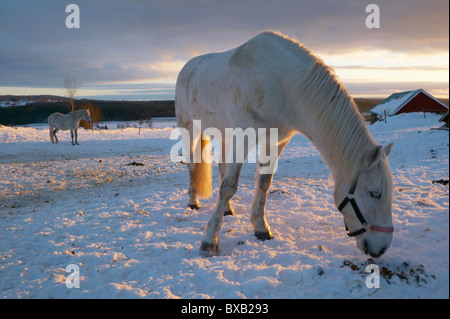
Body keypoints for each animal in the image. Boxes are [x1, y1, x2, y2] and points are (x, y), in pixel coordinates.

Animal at [176, 31, 394, 258]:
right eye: (375, 193)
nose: (382, 248)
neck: (282, 85)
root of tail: (188, 66)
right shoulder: (243, 138)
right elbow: (228, 186)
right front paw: (210, 240)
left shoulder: (276, 141)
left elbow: (264, 183)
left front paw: (261, 227)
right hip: (189, 128)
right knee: (192, 165)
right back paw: (193, 202)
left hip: (225, 134)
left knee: (221, 166)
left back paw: (227, 209)